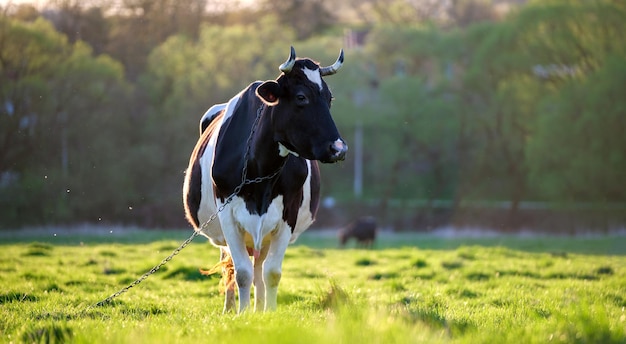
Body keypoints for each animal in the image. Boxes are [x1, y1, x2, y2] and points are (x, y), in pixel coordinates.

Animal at [180, 47, 346, 314]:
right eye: (301, 97)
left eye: (329, 98)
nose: (339, 148)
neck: (260, 173)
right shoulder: (227, 215)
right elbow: (241, 273)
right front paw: (241, 314)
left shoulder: (287, 215)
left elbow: (272, 273)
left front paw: (269, 313)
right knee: (231, 266)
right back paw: (230, 308)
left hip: (265, 234)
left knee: (259, 266)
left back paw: (258, 309)